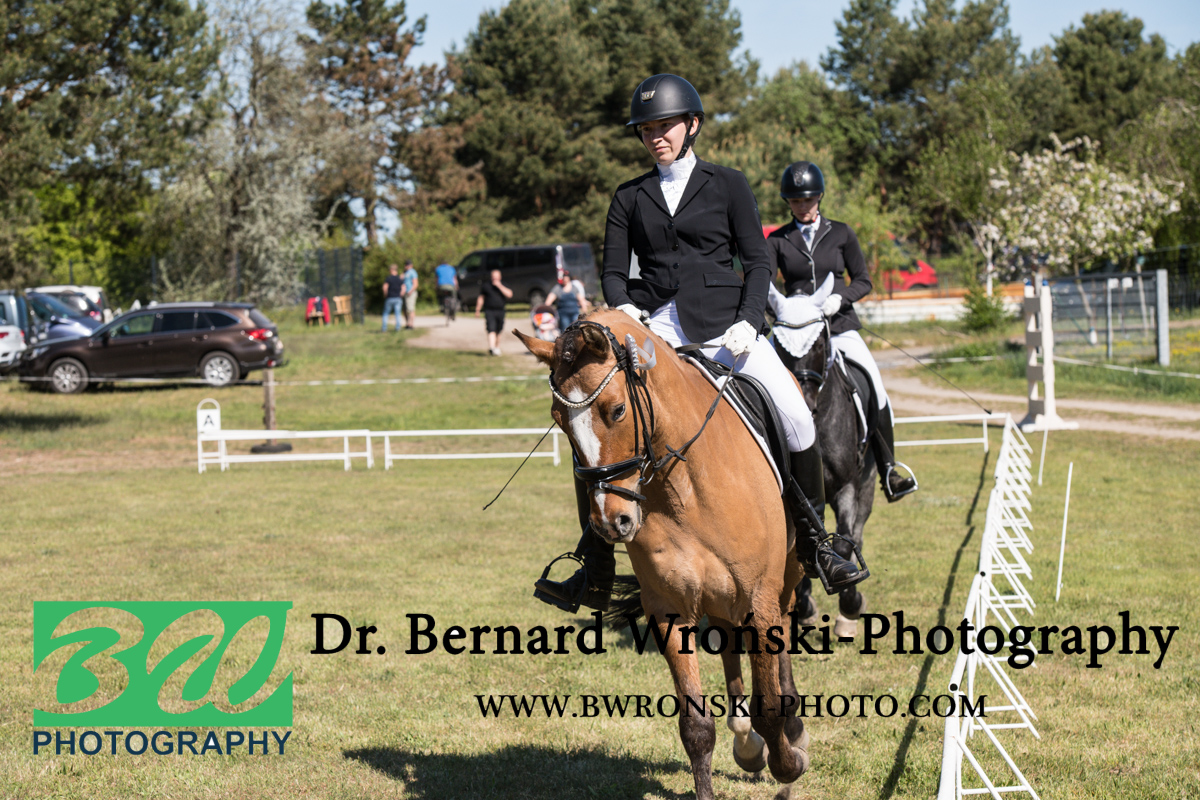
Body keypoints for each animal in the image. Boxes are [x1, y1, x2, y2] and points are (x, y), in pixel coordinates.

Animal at [516, 310, 812, 800]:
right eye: (559, 420)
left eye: (617, 410)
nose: (611, 522)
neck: (684, 488)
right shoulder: (671, 608)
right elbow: (696, 727)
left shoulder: (759, 598)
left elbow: (769, 703)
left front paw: (790, 764)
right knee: (728, 641)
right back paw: (747, 743)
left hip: (785, 578)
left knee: (785, 629)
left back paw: (792, 730)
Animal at [768, 278, 873, 638]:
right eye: (779, 346)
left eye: (820, 343)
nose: (803, 402)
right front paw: (804, 607)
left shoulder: (846, 488)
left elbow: (844, 544)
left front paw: (850, 606)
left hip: (867, 485)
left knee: (856, 533)